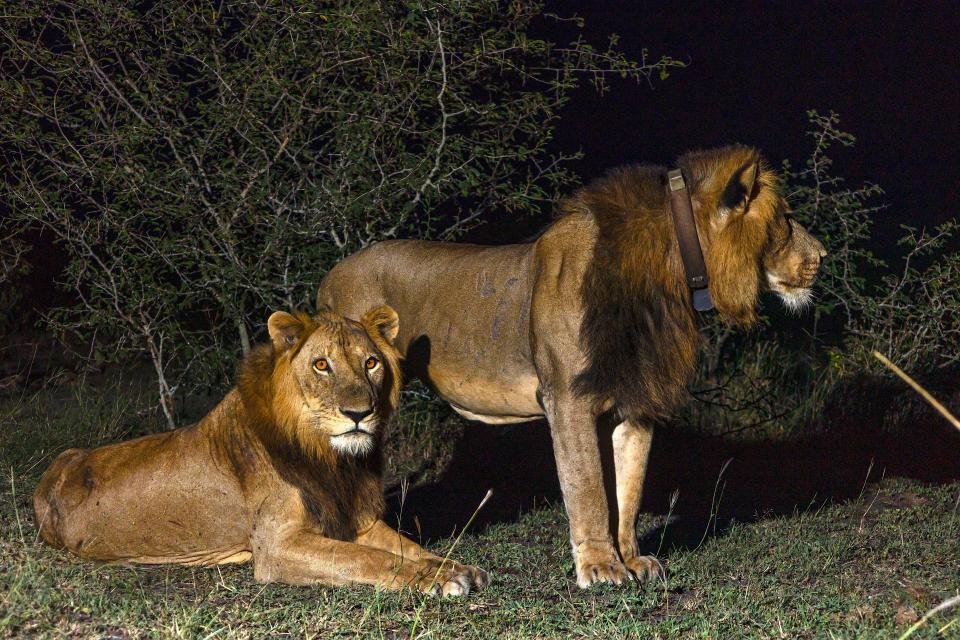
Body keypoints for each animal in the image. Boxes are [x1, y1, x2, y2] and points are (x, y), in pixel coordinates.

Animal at [34, 306, 492, 596]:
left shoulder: (356, 520)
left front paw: (453, 568)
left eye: (371, 363)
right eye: (321, 365)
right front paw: (436, 580)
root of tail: (53, 470)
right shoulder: (277, 545)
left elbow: (408, 546)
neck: (330, 458)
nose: (359, 414)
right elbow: (367, 560)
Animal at [318, 148, 828, 588]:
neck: (669, 278)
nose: (822, 257)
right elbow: (588, 489)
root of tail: (331, 274)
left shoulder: (636, 401)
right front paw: (600, 568)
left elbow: (628, 490)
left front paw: (632, 560)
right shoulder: (567, 397)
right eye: (785, 219)